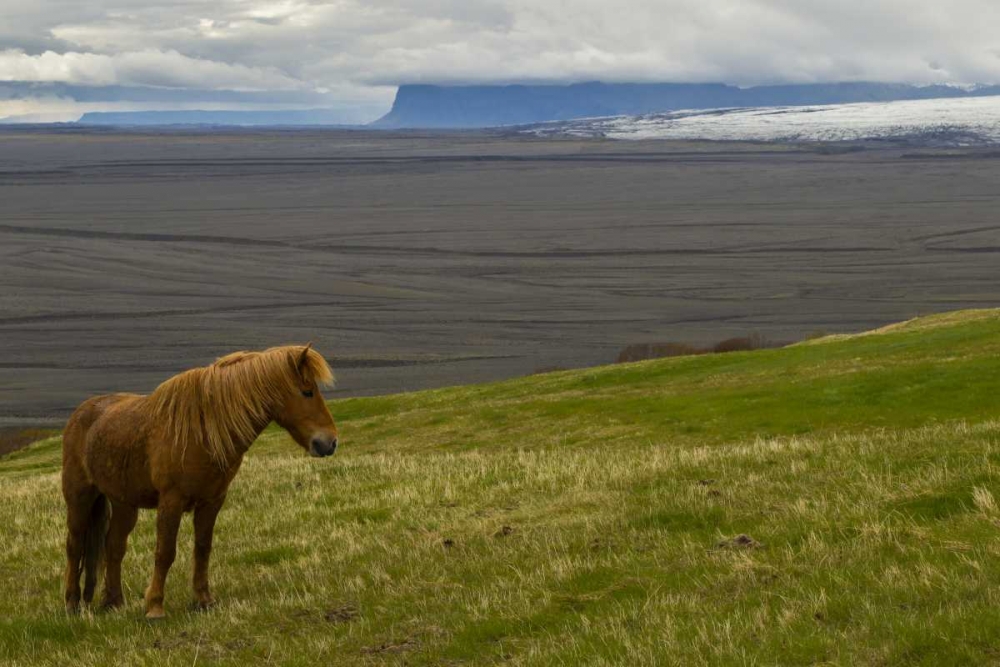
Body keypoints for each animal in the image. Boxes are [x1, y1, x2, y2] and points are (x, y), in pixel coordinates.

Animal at [61, 344, 339, 619]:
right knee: (74, 545)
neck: (204, 431)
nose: (329, 442)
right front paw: (155, 606)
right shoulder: (171, 501)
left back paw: (113, 602)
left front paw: (203, 600)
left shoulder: (212, 501)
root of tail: (81, 413)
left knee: (114, 546)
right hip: (79, 497)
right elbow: (165, 552)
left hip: (124, 504)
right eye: (307, 392)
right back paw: (72, 603)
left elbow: (203, 548)